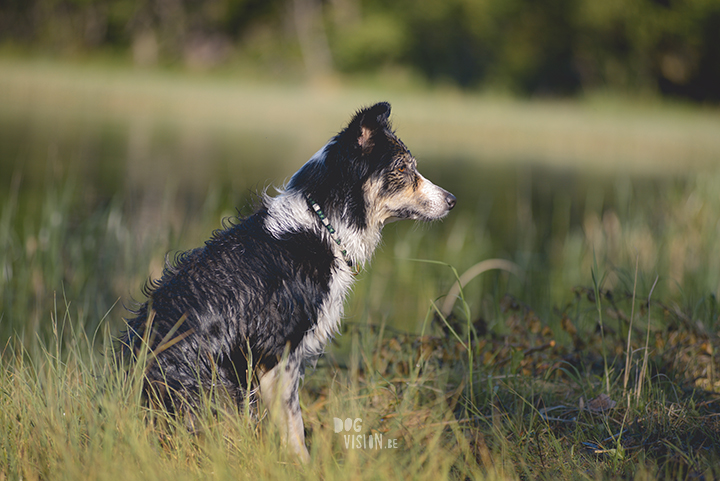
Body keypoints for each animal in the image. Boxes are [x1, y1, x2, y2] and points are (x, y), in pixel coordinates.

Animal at [120, 102, 452, 462]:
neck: (324, 225)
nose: (452, 200)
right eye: (403, 168)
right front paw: (303, 466)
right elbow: (295, 428)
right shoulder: (280, 357)